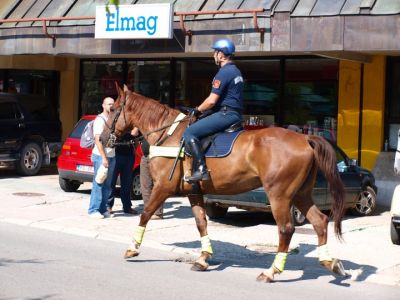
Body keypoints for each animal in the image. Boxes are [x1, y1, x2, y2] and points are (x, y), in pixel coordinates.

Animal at [102, 85, 346, 282]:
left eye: (113, 110)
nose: (103, 139)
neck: (167, 134)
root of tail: (305, 138)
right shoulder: (194, 192)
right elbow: (201, 222)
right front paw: (203, 258)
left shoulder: (163, 187)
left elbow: (145, 214)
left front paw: (132, 248)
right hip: (300, 194)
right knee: (320, 221)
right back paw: (331, 263)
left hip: (280, 195)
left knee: (286, 228)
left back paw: (271, 271)